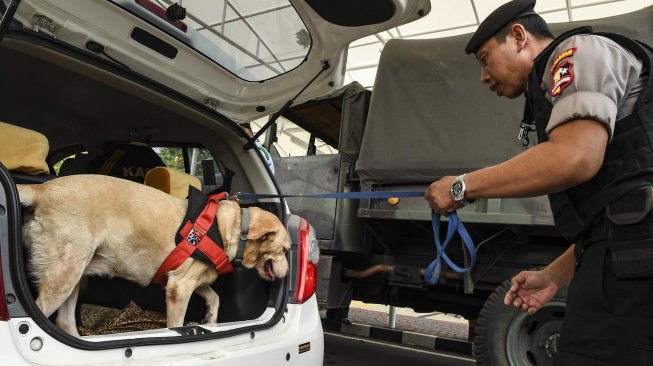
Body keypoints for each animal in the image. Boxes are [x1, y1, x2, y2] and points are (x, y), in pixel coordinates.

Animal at [17, 174, 288, 338]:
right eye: (285, 250)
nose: (287, 273)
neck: (229, 229)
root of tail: (42, 189)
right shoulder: (179, 288)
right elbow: (176, 325)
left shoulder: (187, 280)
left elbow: (215, 298)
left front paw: (210, 320)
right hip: (64, 276)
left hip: (74, 276)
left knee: (64, 323)